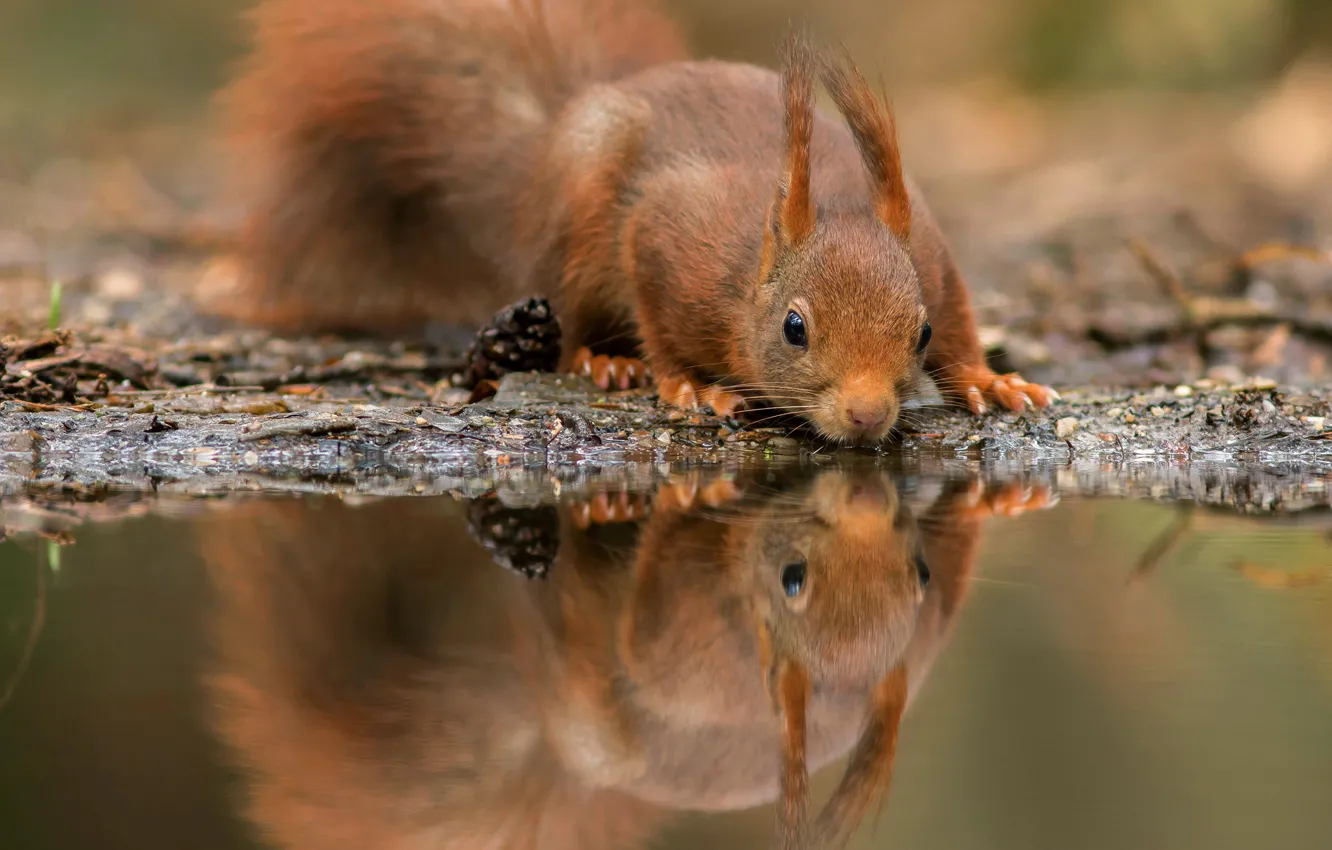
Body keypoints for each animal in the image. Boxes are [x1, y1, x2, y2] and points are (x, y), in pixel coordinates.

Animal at [218, 0, 1054, 442]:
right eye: (794, 329)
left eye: (919, 333)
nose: (869, 414)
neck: (751, 269)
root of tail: (561, 129)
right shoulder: (665, 240)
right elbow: (658, 313)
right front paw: (690, 385)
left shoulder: (933, 255)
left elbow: (964, 319)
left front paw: (990, 379)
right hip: (574, 240)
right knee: (570, 315)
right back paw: (603, 359)